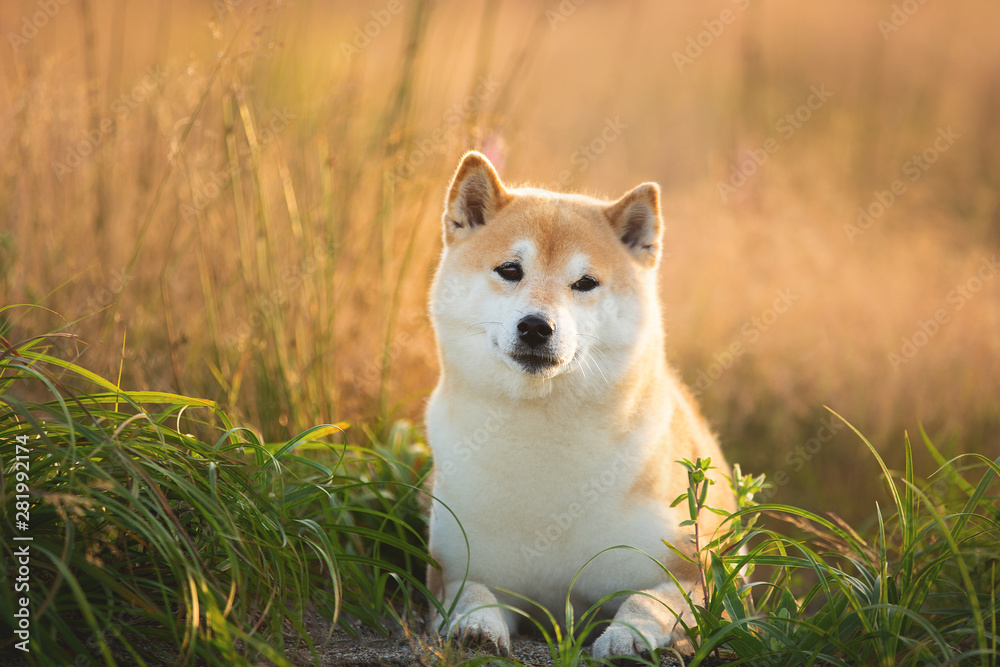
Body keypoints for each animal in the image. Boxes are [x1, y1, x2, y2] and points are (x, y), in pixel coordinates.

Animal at [424, 150, 736, 656]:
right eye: (510, 270)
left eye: (585, 282)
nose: (536, 326)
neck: (543, 444)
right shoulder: (451, 573)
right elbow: (470, 592)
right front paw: (477, 627)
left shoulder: (697, 578)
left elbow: (650, 601)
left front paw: (628, 637)